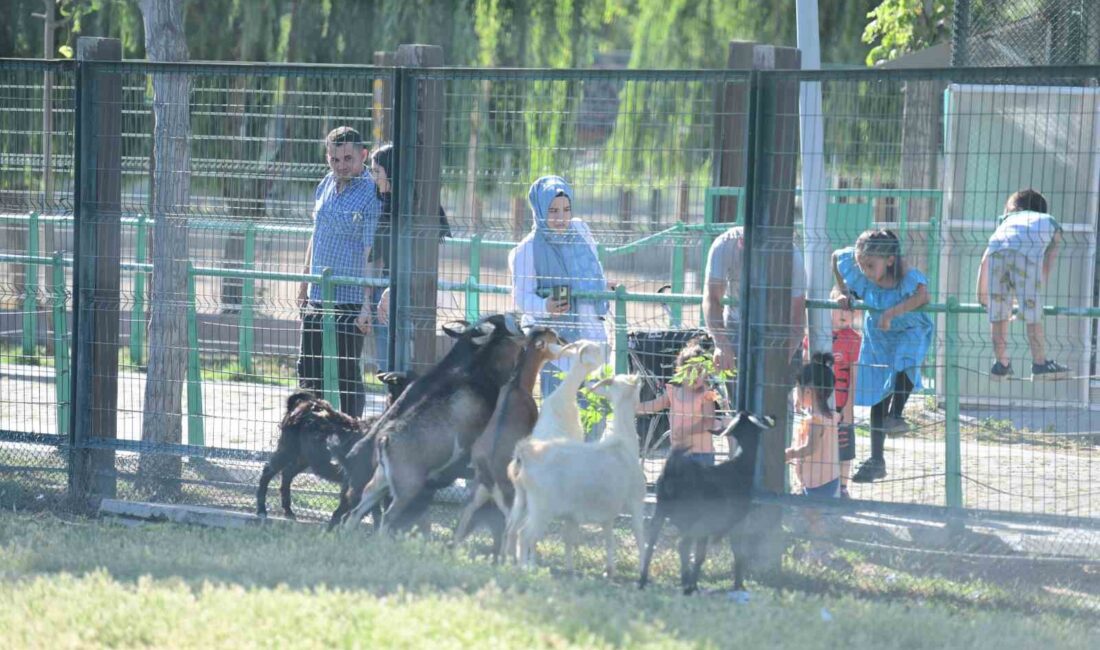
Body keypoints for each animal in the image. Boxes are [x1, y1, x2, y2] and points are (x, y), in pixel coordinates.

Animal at [255, 373, 413, 521]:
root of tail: (297, 405)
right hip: (288, 448)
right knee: (268, 470)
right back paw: (262, 510)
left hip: (304, 457)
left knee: (287, 473)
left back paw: (288, 511)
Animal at [503, 371, 646, 576]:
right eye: (639, 389)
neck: (623, 443)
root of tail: (523, 454)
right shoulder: (636, 501)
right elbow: (639, 536)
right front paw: (642, 570)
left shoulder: (603, 513)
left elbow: (605, 540)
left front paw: (606, 570)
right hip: (541, 508)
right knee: (525, 534)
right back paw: (525, 569)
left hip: (521, 500)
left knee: (511, 529)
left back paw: (508, 563)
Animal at [638, 411, 774, 593]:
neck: (739, 468)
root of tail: (672, 469)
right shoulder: (736, 524)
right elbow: (736, 553)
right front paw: (738, 585)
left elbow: (700, 554)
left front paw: (694, 582)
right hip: (693, 519)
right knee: (683, 546)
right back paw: (686, 584)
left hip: (660, 512)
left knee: (651, 542)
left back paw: (643, 580)